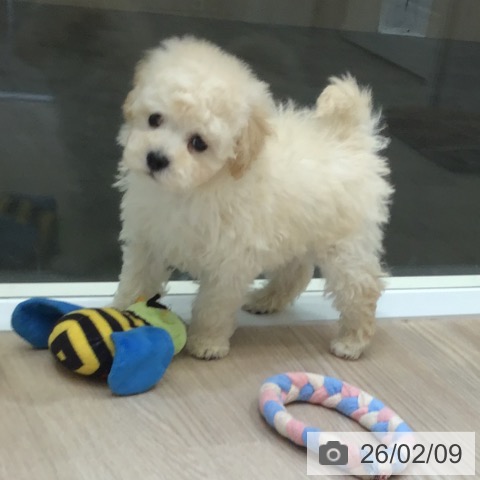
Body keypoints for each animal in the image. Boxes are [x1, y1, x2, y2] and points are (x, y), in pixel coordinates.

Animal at [113, 36, 393, 361]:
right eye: (154, 119)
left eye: (198, 143)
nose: (156, 159)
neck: (194, 188)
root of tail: (349, 140)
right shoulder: (148, 241)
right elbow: (136, 281)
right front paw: (120, 313)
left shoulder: (229, 261)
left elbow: (214, 305)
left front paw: (207, 342)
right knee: (297, 272)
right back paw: (265, 300)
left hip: (345, 246)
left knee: (361, 288)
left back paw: (352, 342)